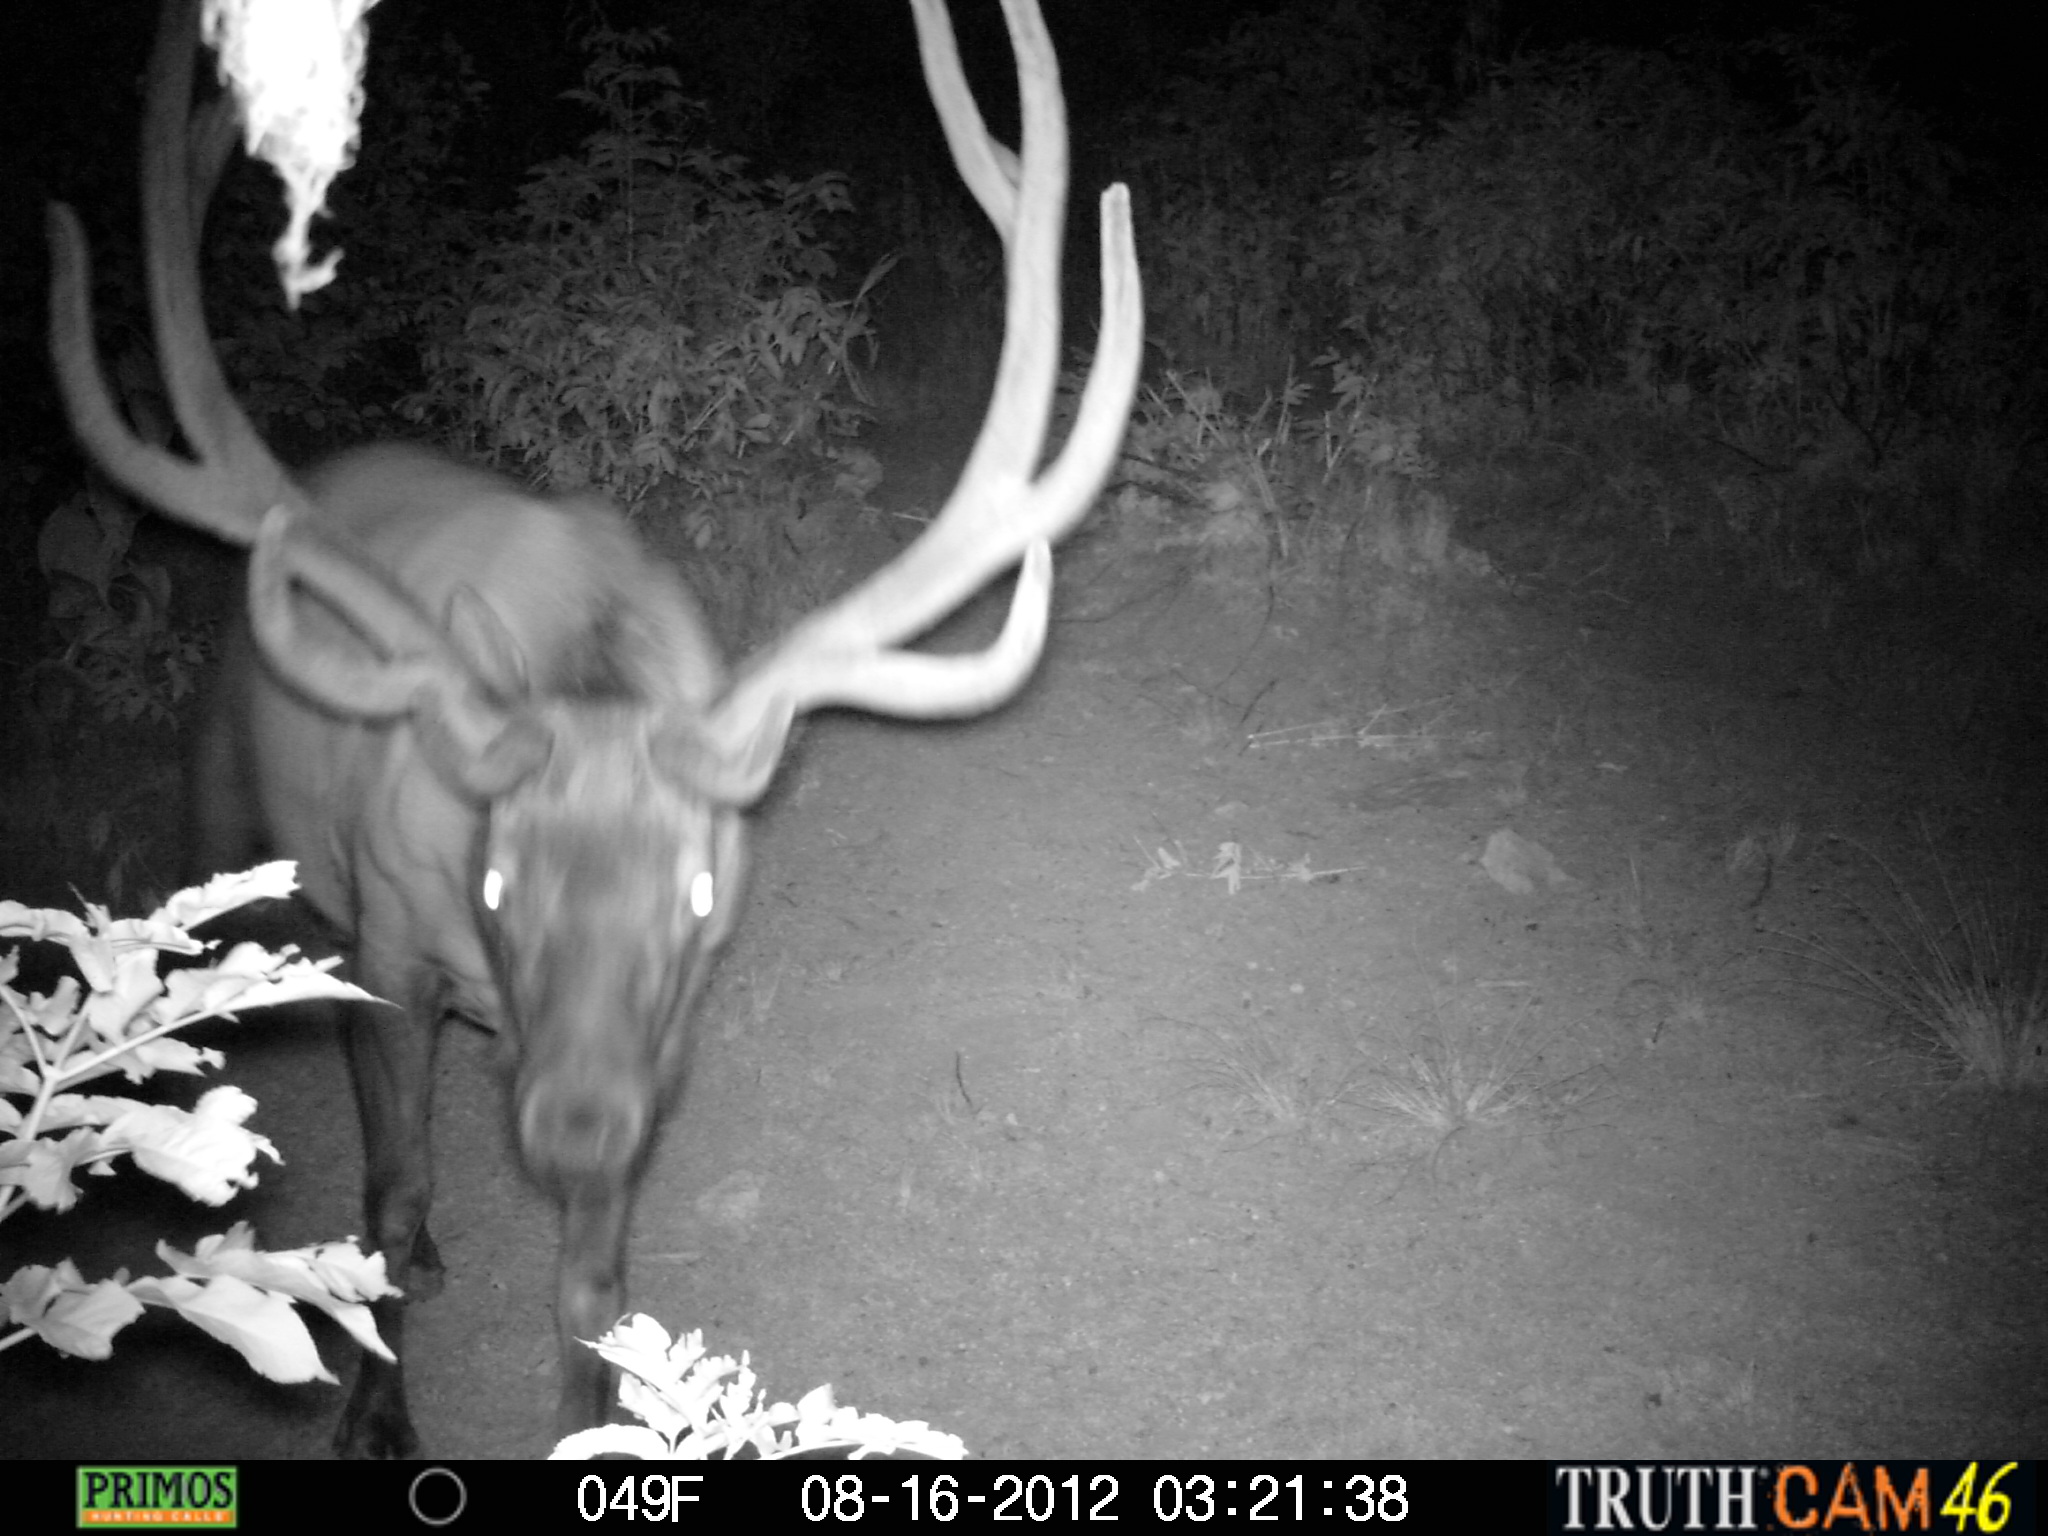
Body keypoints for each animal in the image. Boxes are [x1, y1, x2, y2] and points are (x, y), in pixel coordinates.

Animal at [47, 0, 1139, 1457]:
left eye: (694, 896)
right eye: (497, 881)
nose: (572, 1132)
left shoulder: (660, 1032)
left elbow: (596, 1282)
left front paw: (590, 1416)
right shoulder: (397, 943)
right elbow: (394, 1189)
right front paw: (376, 1415)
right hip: (224, 800)